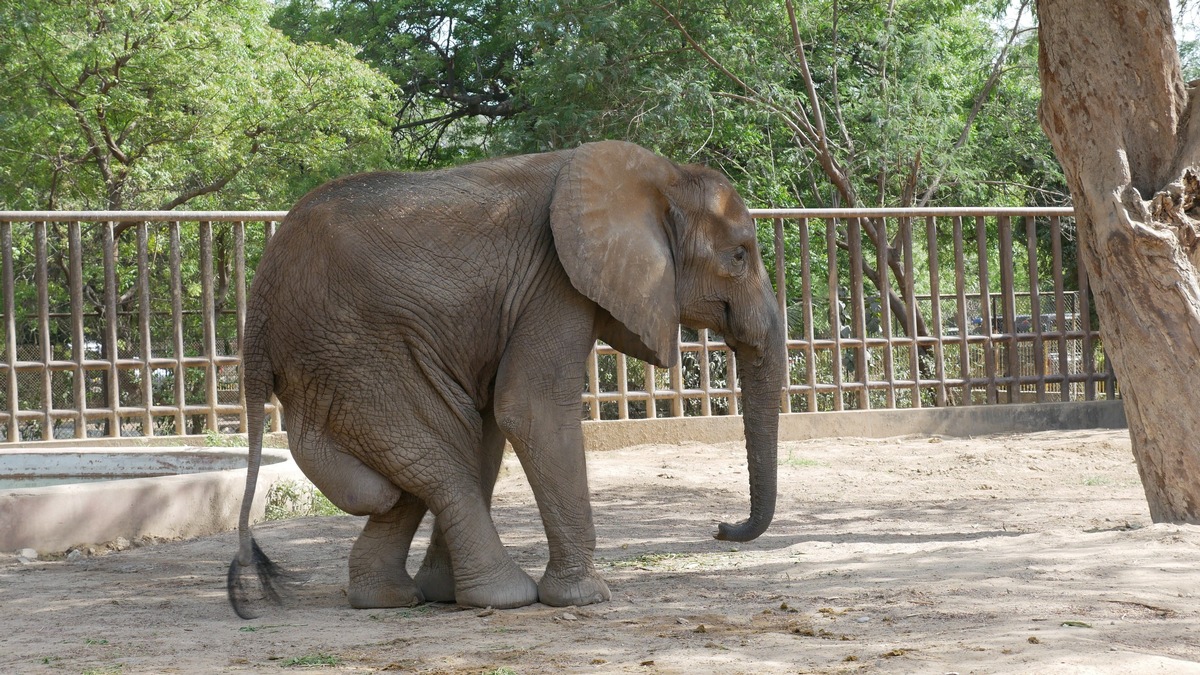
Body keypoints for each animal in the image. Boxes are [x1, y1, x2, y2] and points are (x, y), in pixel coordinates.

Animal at [226, 139, 787, 619]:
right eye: (739, 256)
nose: (721, 528)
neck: (661, 175)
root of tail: (259, 306)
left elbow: (499, 419)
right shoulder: (555, 281)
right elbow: (531, 407)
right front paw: (586, 598)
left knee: (433, 454)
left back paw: (405, 597)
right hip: (354, 350)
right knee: (439, 453)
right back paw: (501, 596)